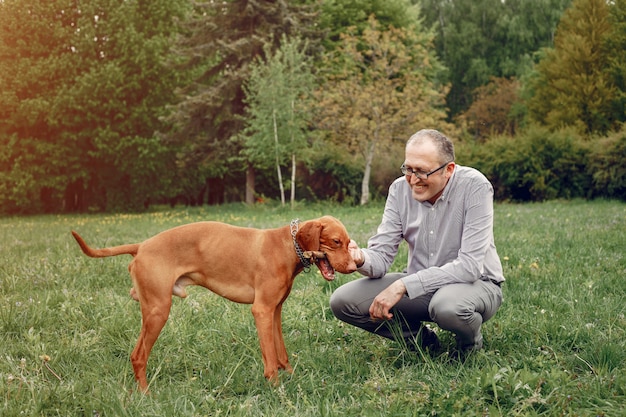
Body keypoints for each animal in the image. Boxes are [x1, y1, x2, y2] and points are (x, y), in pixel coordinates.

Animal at [70, 214, 354, 390]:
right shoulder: (261, 311)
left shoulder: (274, 311)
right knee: (138, 356)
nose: (354, 266)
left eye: (348, 242)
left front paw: (293, 378)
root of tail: (142, 245)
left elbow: (280, 353)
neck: (286, 244)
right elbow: (270, 358)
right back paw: (145, 394)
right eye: (336, 241)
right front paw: (276, 388)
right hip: (158, 312)